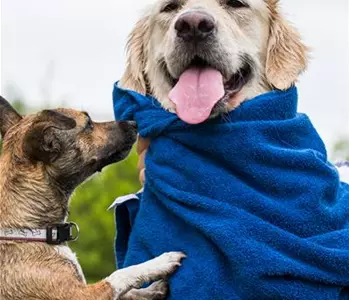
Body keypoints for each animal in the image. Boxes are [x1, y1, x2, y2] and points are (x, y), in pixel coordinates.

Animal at [0, 96, 185, 300]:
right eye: (88, 124)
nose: (133, 123)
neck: (29, 228)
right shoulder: (82, 295)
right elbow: (118, 276)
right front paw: (159, 263)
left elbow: (130, 292)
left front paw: (152, 289)